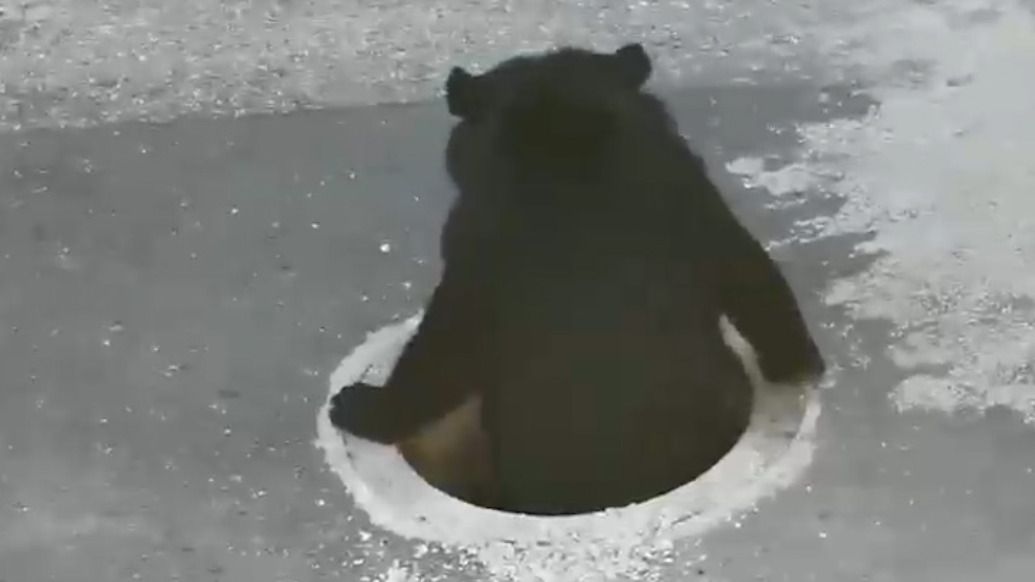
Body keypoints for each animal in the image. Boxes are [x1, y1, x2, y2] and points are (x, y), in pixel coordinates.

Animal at [329, 42, 825, 516]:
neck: (564, 137)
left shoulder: (477, 235)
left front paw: (361, 407)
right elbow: (748, 270)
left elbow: (448, 339)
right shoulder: (686, 185)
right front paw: (797, 364)